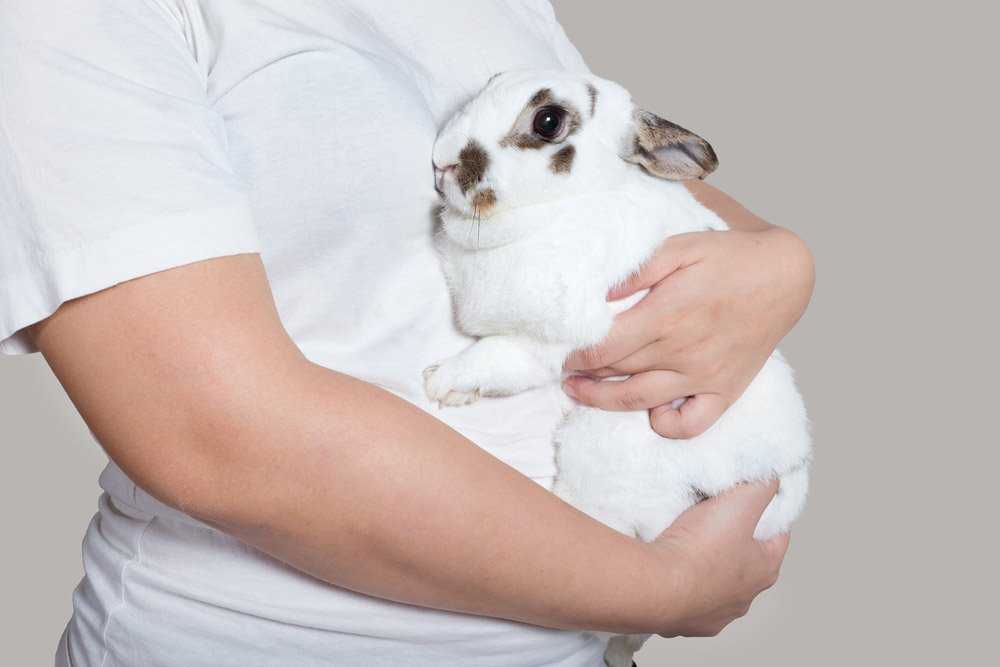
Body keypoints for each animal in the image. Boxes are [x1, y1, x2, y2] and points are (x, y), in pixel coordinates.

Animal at [425, 69, 811, 667]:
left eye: (548, 121)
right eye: (491, 80)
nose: (441, 162)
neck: (575, 200)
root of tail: (777, 503)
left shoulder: (546, 343)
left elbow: (492, 358)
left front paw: (441, 384)